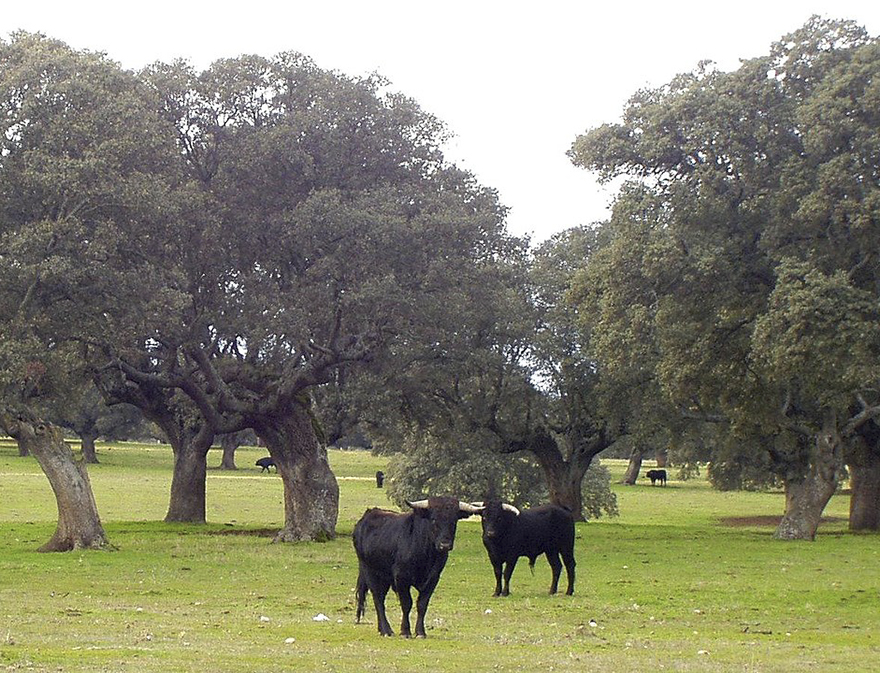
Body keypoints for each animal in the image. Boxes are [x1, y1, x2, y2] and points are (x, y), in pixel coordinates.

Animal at [354, 496, 484, 636]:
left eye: (454, 520)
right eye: (433, 519)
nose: (445, 545)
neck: (426, 555)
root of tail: (368, 515)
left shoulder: (433, 579)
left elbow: (422, 604)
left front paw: (420, 631)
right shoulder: (401, 578)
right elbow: (406, 604)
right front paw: (405, 631)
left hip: (384, 577)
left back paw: (381, 629)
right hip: (370, 572)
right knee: (378, 599)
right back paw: (386, 630)